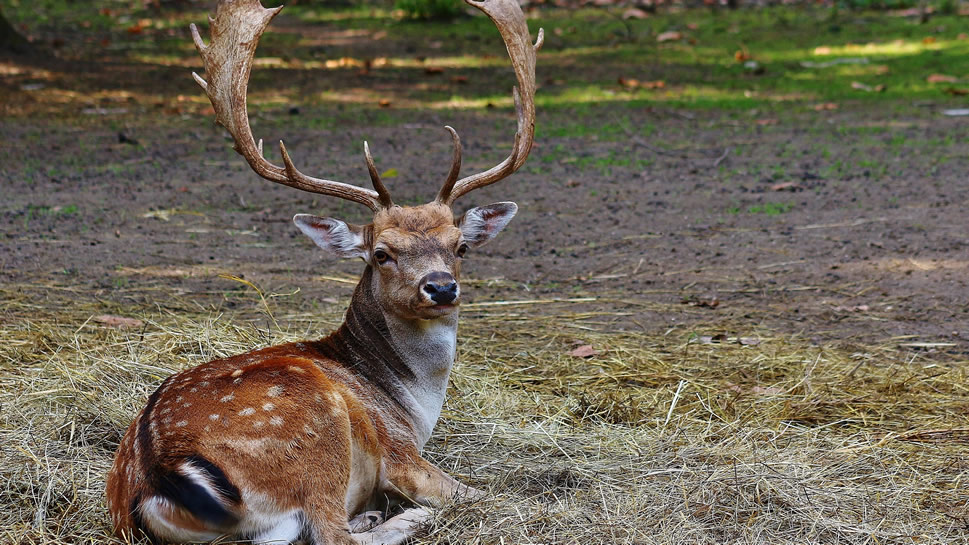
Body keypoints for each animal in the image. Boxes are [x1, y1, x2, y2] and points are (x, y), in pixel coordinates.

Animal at [107, 1, 544, 544]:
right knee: (336, 531)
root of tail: (159, 472)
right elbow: (488, 497)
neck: (410, 402)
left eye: (459, 246)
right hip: (316, 432)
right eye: (382, 253)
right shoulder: (401, 452)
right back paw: (392, 515)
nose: (441, 288)